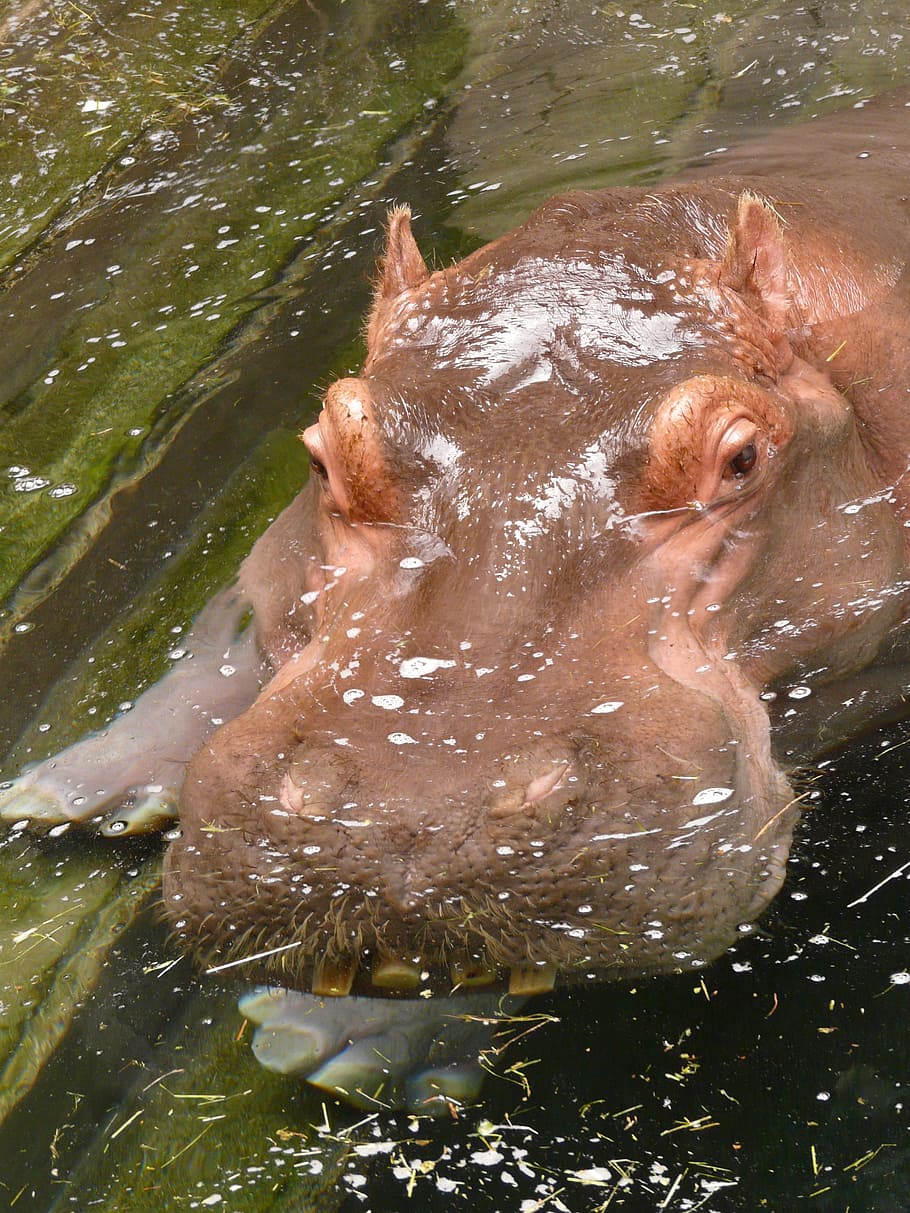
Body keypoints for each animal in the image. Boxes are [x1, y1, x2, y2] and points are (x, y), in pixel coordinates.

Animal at [4, 89, 910, 1111]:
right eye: (325, 449)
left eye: (744, 457)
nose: (409, 824)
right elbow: (241, 610)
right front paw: (66, 792)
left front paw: (330, 1038)